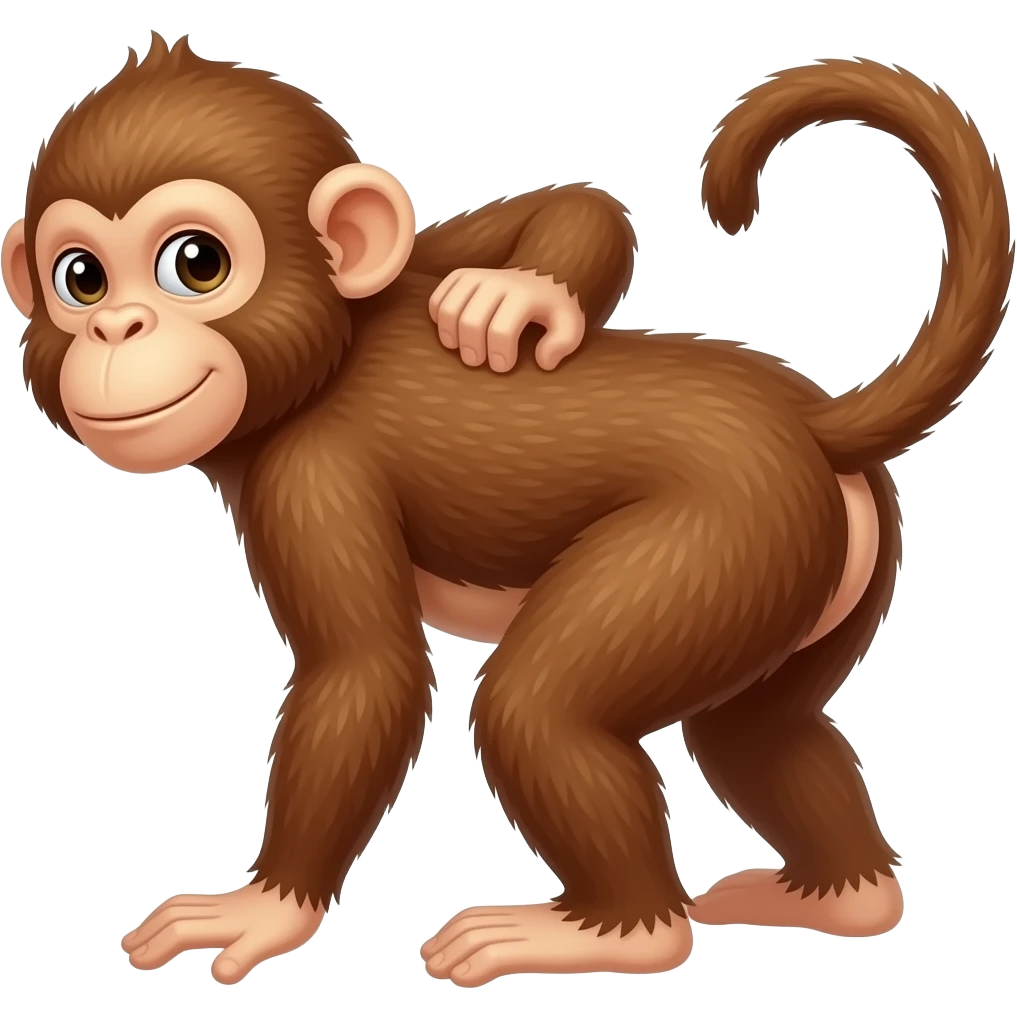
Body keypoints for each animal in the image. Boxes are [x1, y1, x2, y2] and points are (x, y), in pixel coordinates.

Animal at [4, 36, 1012, 989]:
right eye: (80, 278)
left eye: (196, 264)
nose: (115, 327)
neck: (328, 356)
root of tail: (815, 426)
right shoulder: (414, 267)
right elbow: (539, 212)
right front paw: (522, 290)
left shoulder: (313, 476)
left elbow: (365, 677)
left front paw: (265, 906)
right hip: (823, 567)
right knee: (757, 733)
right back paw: (839, 897)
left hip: (732, 538)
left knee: (541, 709)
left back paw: (616, 932)